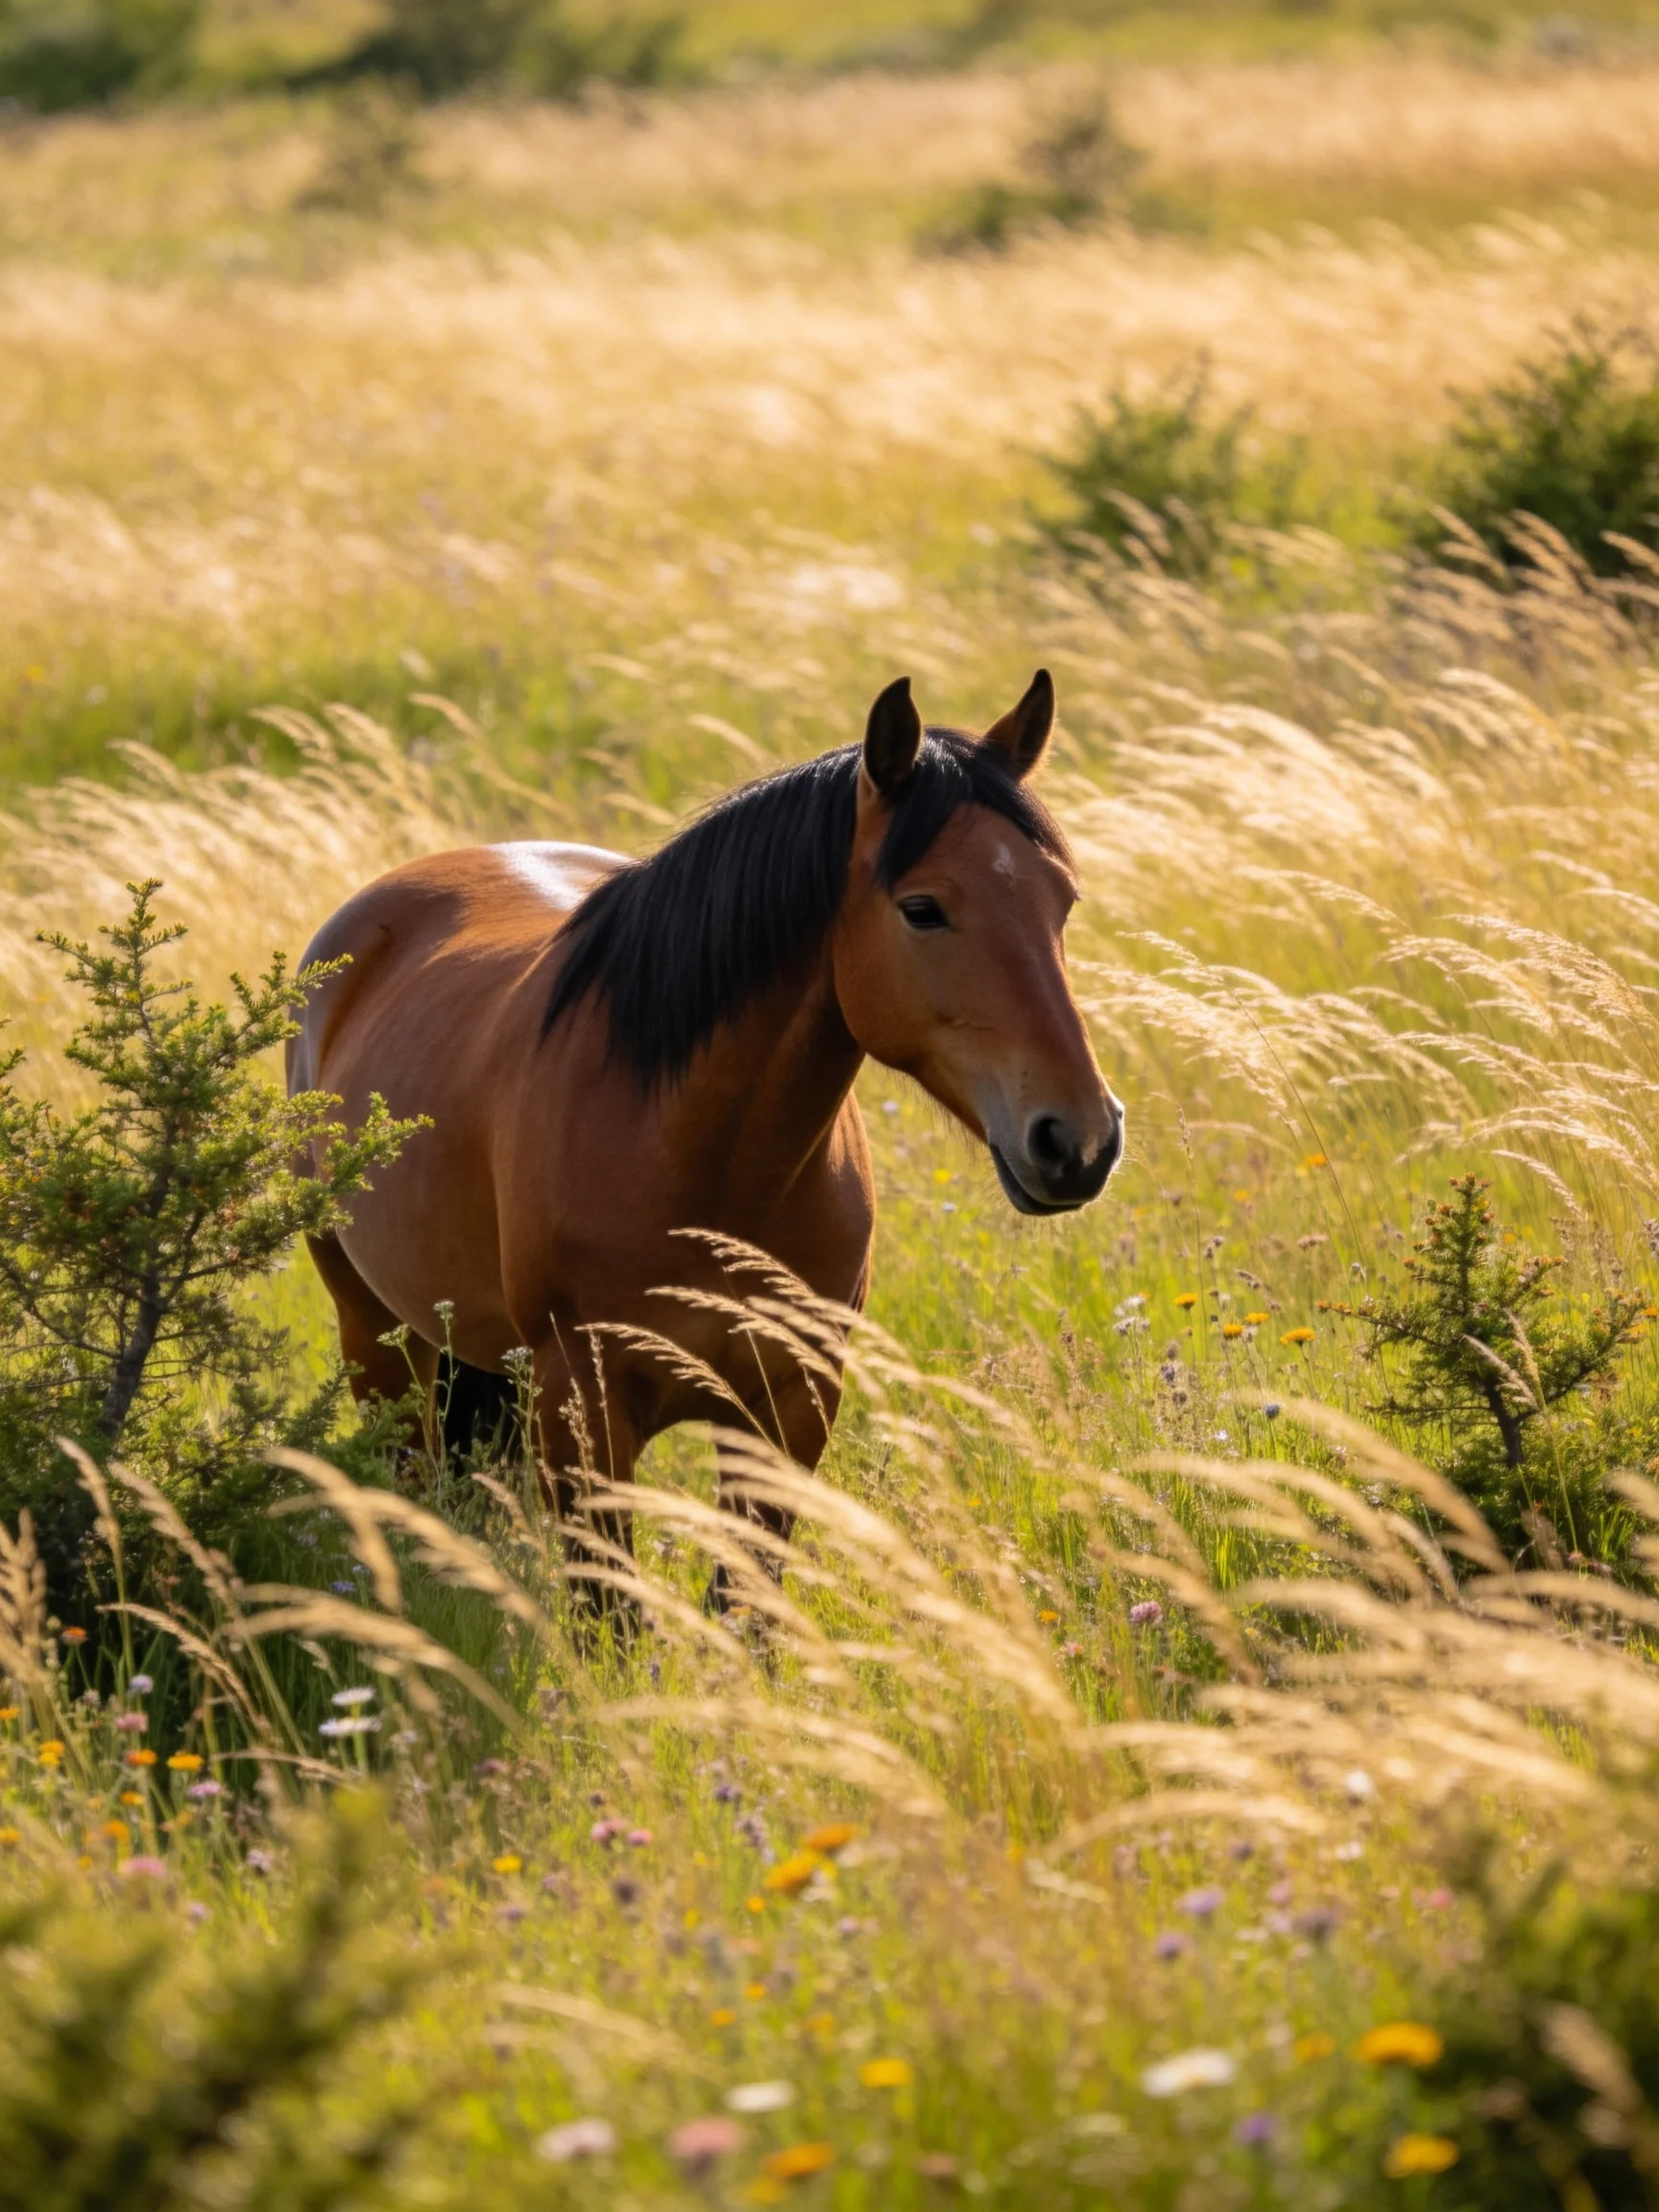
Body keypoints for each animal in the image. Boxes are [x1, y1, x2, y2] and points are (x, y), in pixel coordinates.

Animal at [287, 668, 1123, 1601]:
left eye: (1062, 902)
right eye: (922, 908)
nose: (1079, 1140)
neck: (700, 1162)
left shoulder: (790, 1409)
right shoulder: (586, 1413)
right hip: (378, 1342)